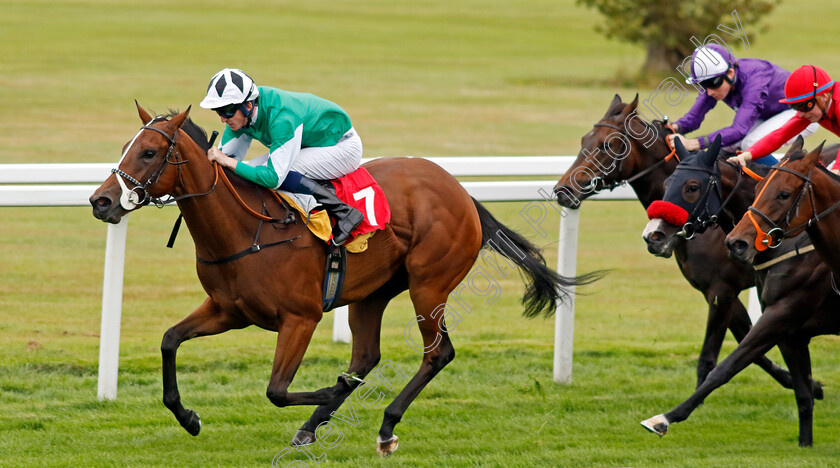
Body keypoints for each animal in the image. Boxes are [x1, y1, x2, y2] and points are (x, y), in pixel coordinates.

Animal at [88, 105, 596, 458]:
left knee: (437, 353)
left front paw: (331, 391)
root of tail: (461, 192)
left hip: (428, 285)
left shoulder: (301, 317)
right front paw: (188, 416)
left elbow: (276, 390)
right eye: (125, 146)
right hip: (371, 294)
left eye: (149, 152)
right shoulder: (228, 310)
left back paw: (385, 427)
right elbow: (170, 340)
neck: (247, 230)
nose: (100, 201)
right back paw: (314, 424)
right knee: (366, 356)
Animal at [556, 95, 796, 392]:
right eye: (583, 140)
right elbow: (751, 344)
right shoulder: (715, 290)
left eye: (607, 145)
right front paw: (799, 381)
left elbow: (711, 357)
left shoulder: (722, 289)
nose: (562, 190)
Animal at [640, 136, 832, 446]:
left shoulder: (734, 295)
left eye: (692, 187)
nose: (653, 236)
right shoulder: (775, 319)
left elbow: (719, 361)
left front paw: (668, 417)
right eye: (667, 182)